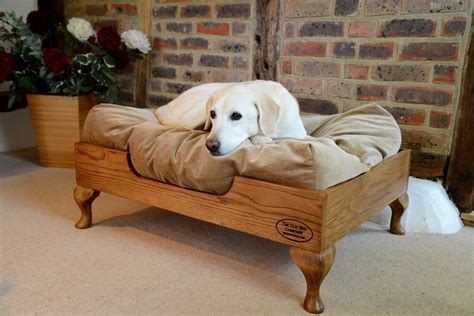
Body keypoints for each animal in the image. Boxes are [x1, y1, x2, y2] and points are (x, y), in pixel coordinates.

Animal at [156, 80, 308, 156]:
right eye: (212, 114)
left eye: (236, 116)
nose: (210, 146)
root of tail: (168, 104)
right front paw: (261, 138)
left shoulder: (299, 134)